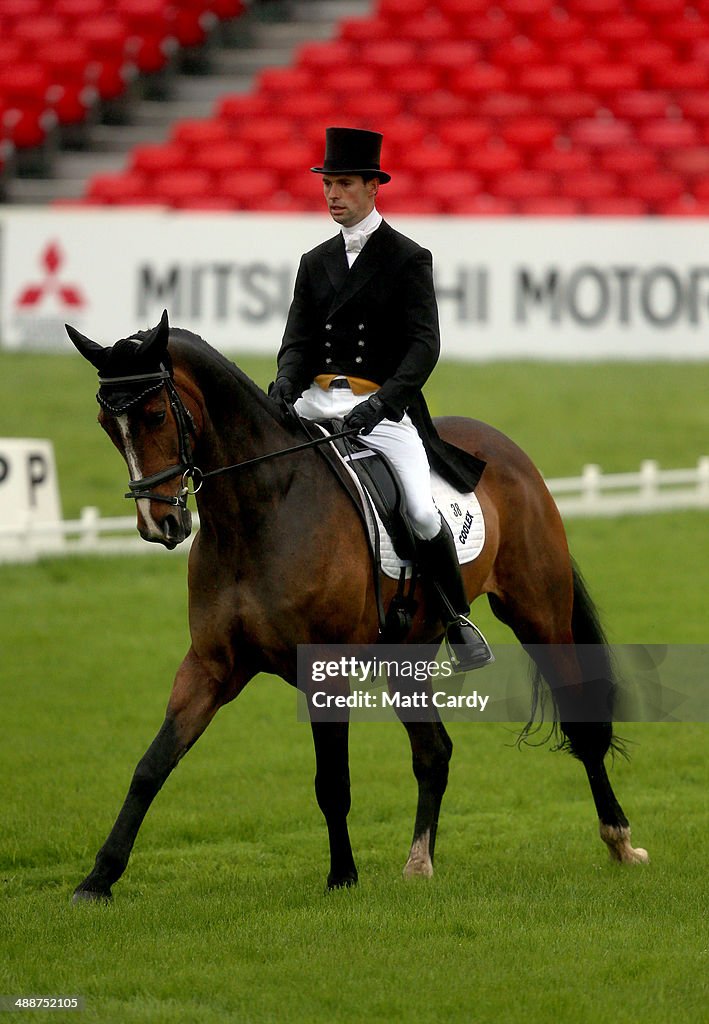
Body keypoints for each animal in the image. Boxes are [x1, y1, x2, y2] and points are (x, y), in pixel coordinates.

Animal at [65, 313, 647, 905]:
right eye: (106, 424)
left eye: (157, 414)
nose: (158, 525)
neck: (260, 511)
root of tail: (507, 449)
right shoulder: (211, 666)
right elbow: (152, 765)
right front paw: (98, 879)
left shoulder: (322, 669)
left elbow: (332, 781)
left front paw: (342, 876)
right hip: (406, 657)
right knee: (434, 751)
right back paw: (419, 863)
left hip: (538, 615)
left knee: (580, 721)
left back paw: (619, 841)